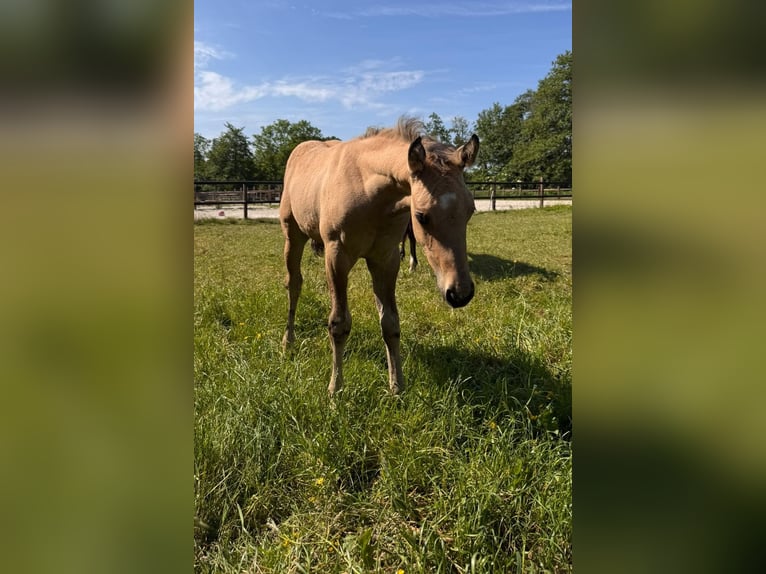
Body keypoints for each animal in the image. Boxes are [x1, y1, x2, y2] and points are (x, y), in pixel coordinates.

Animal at [279, 117, 479, 395]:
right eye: (421, 216)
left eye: (471, 210)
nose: (460, 294)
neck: (366, 189)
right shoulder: (337, 256)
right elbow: (338, 324)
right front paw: (335, 389)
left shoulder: (385, 259)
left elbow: (390, 323)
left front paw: (397, 387)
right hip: (293, 236)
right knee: (294, 284)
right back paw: (288, 342)